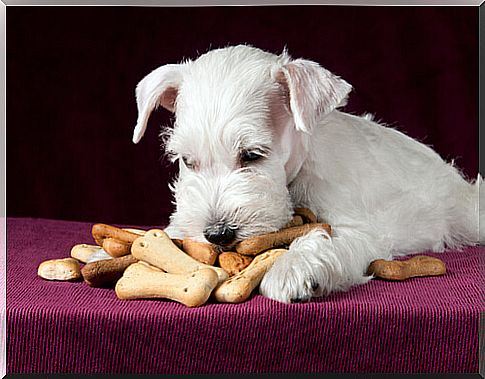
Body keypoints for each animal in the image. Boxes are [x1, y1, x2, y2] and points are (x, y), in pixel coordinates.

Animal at [131, 44, 480, 304]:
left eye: (252, 155)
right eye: (187, 161)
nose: (217, 234)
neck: (296, 175)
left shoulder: (358, 229)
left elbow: (324, 238)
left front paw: (293, 268)